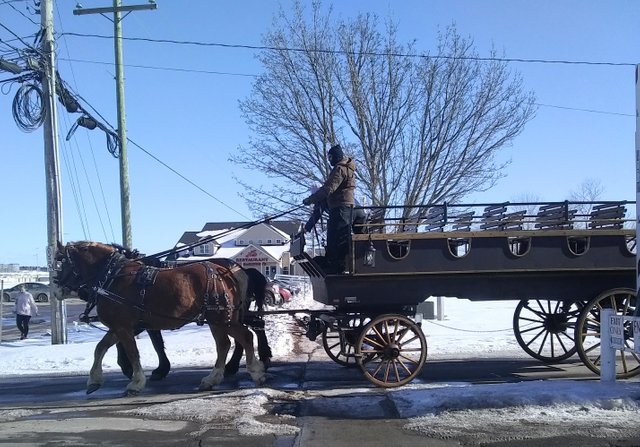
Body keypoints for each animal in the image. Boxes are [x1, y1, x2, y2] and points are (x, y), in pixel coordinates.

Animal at [55, 242, 264, 396]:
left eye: (60, 262)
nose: (56, 289)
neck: (113, 277)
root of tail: (227, 272)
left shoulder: (124, 327)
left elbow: (133, 352)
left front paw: (136, 381)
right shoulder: (120, 326)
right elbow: (100, 347)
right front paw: (94, 380)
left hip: (221, 318)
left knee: (244, 337)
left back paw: (255, 371)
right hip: (217, 320)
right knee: (225, 344)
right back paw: (213, 378)